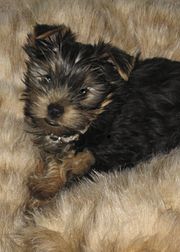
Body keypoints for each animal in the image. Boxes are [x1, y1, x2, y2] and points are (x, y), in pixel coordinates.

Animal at [23, 24, 180, 201]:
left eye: (83, 91)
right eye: (47, 78)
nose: (54, 109)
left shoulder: (113, 156)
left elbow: (77, 179)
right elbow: (57, 161)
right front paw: (47, 185)